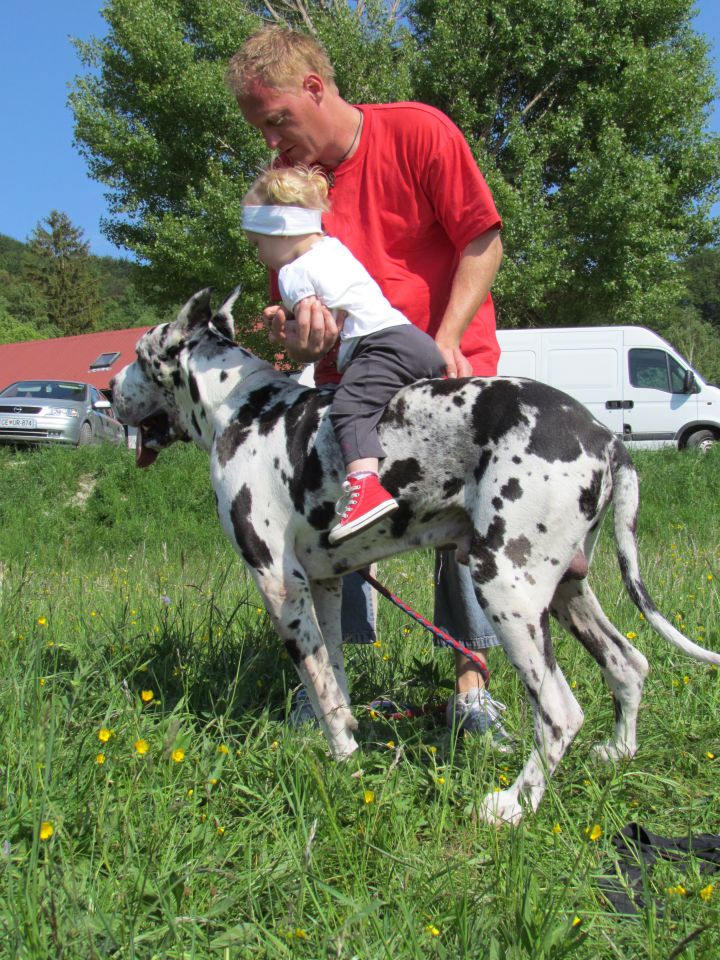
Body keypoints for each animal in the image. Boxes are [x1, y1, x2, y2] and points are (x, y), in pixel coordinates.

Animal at [112, 290, 720, 824]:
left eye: (139, 355)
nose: (108, 386)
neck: (244, 408)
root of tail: (605, 437)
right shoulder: (324, 586)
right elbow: (334, 679)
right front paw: (344, 742)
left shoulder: (278, 587)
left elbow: (320, 684)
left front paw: (345, 764)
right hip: (566, 591)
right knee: (629, 664)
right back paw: (617, 753)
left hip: (504, 587)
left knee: (559, 714)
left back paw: (513, 806)